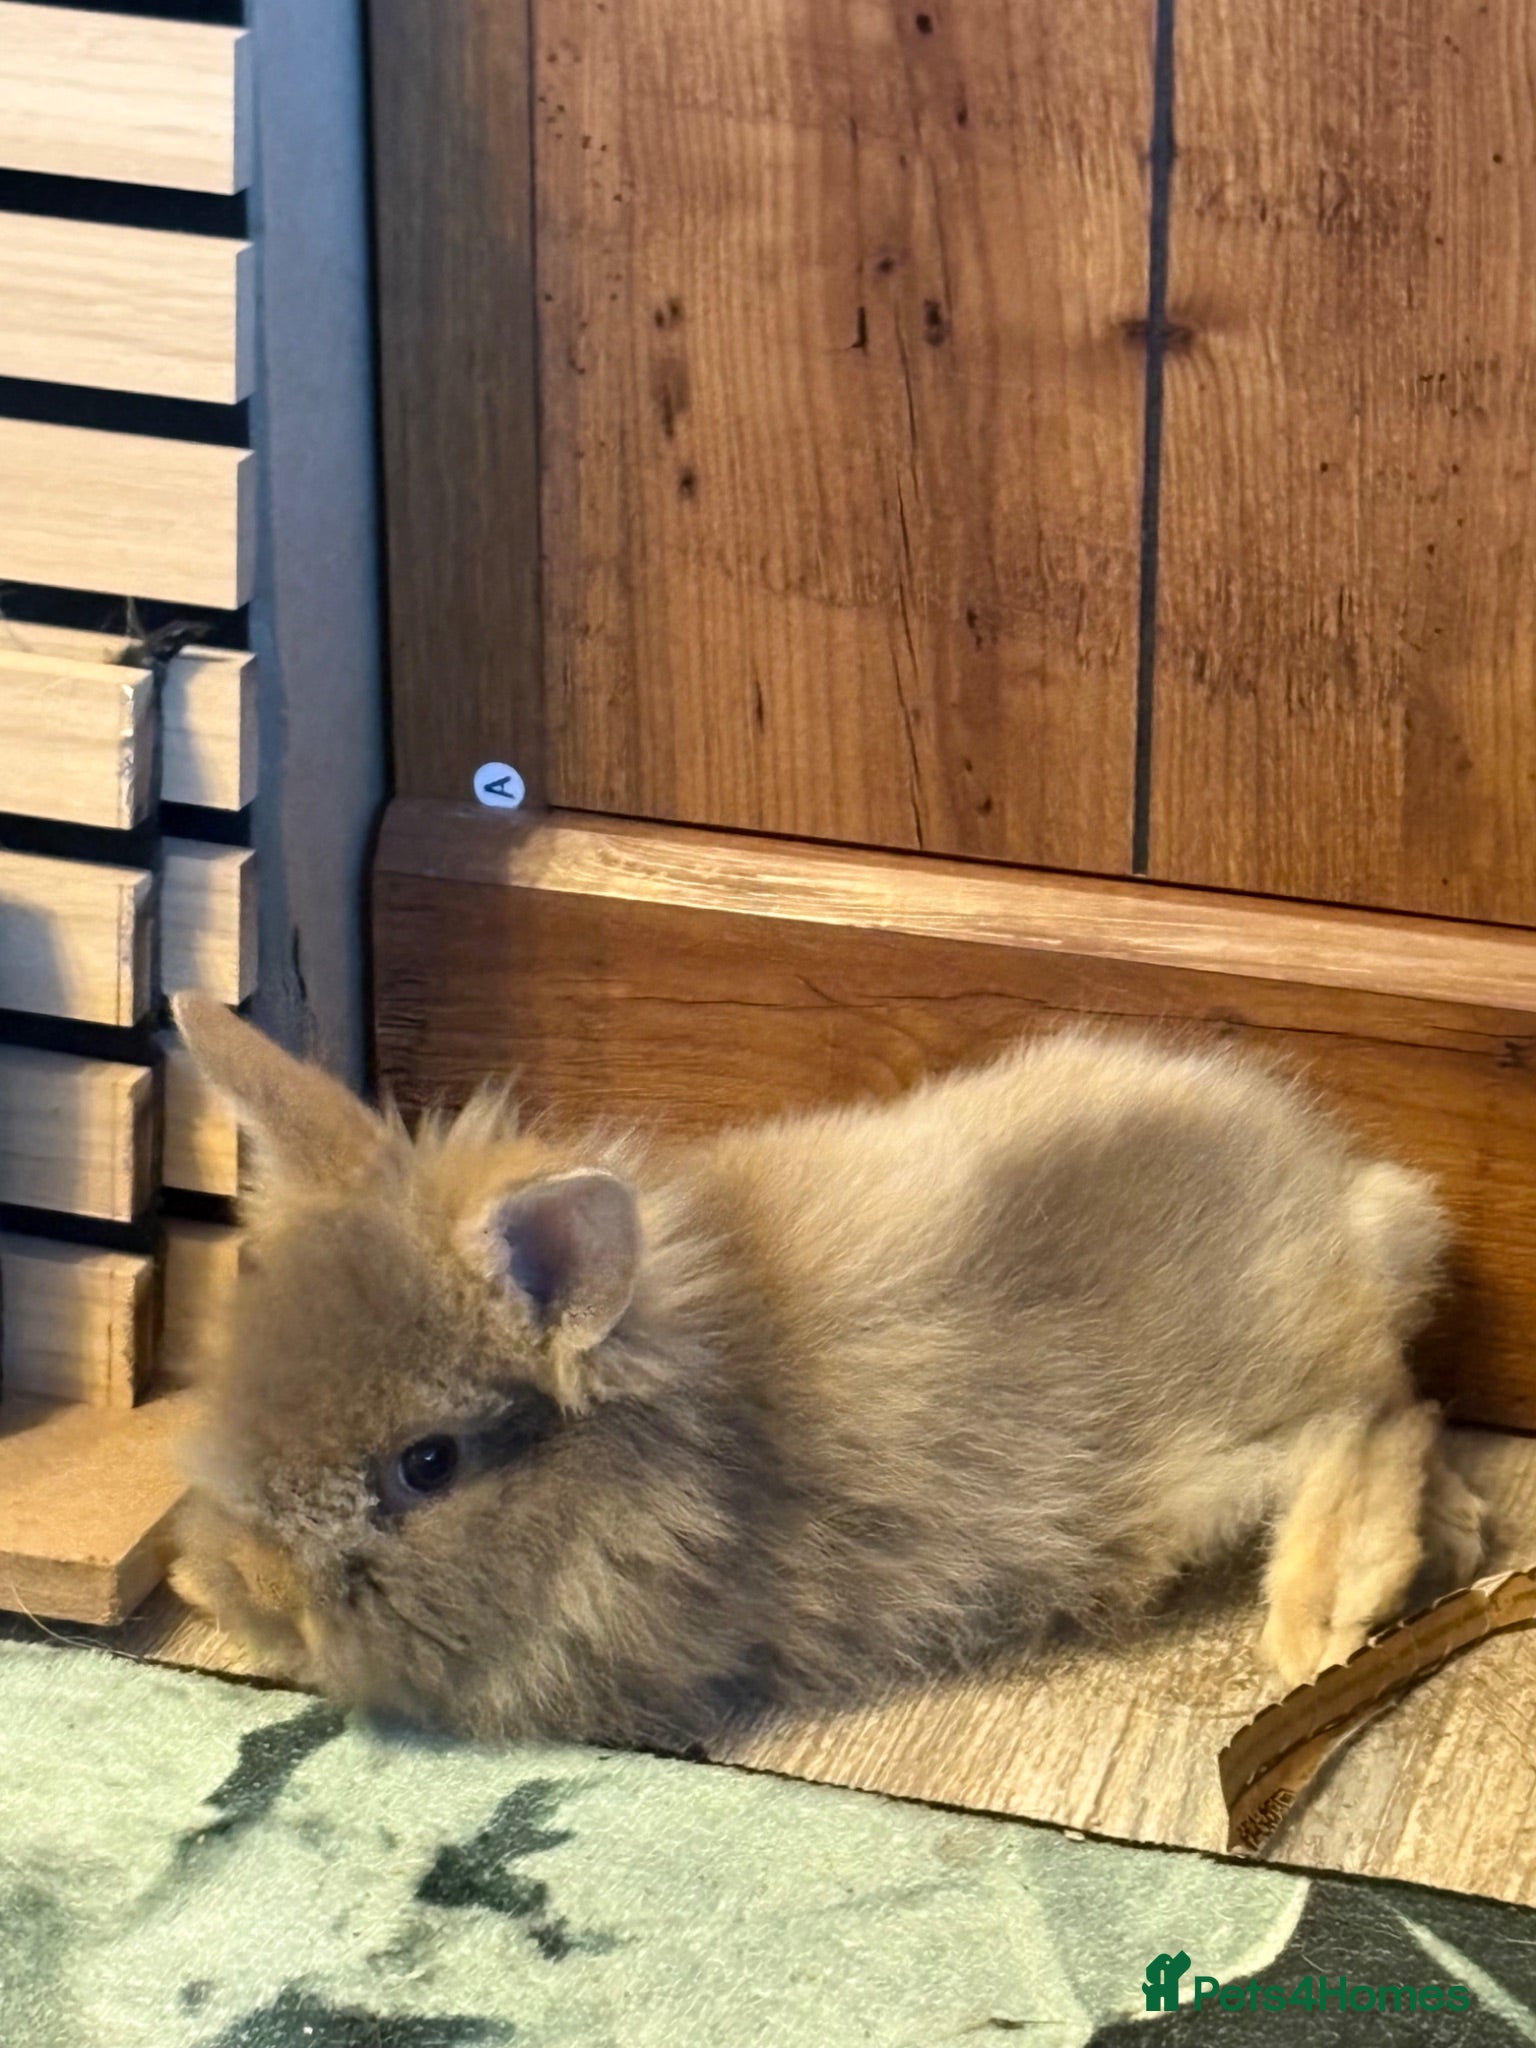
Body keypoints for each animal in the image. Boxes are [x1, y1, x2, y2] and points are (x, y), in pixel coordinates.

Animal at [167, 992, 1487, 1747]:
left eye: (428, 1463)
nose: (259, 1594)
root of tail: (1348, 1199)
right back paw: (1458, 1537)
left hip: (1201, 1457)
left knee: (1370, 1412)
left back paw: (1329, 1613)